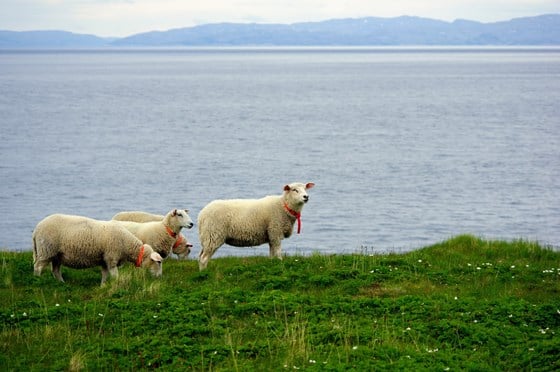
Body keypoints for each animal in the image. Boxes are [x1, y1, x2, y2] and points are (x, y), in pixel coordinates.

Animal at [32, 214, 163, 284]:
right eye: (159, 262)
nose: (160, 277)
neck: (126, 244)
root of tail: (37, 228)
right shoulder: (111, 257)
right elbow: (114, 274)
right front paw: (116, 283)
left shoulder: (104, 259)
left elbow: (104, 274)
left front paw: (103, 285)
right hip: (46, 250)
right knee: (38, 267)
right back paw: (38, 280)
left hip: (57, 255)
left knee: (55, 270)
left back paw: (62, 283)